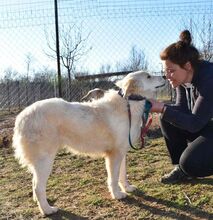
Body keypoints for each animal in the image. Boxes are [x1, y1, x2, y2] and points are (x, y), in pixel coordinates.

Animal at [12, 71, 166, 216]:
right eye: (148, 76)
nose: (165, 75)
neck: (129, 103)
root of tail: (22, 117)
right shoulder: (114, 155)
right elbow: (113, 178)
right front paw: (117, 195)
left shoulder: (122, 152)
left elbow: (123, 174)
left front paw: (127, 188)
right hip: (45, 160)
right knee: (38, 187)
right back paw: (47, 210)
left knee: (34, 183)